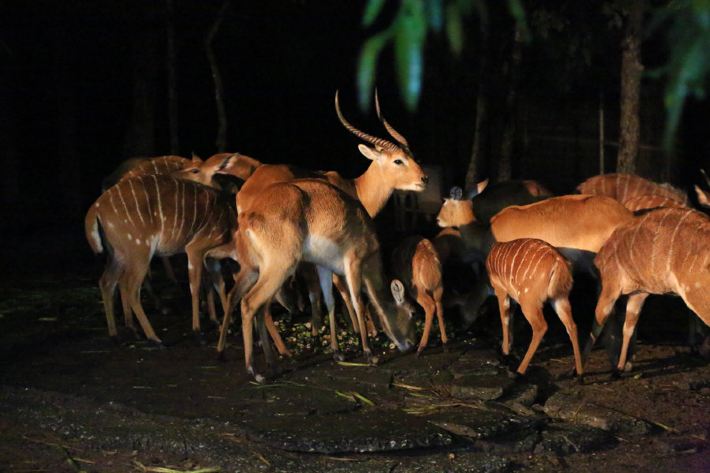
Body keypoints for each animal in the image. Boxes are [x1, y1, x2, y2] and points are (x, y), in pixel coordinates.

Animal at [83, 173, 234, 342]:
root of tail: (95, 208)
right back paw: (154, 338)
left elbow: (219, 284)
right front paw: (197, 331)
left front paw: (226, 324)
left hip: (118, 253)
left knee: (107, 282)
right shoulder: (195, 249)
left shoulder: (211, 258)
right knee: (130, 288)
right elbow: (195, 287)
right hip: (140, 251)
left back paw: (119, 334)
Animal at [218, 177, 418, 380]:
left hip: (255, 270)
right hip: (280, 268)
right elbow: (358, 303)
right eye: (412, 311)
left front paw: (337, 351)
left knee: (255, 306)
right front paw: (370, 353)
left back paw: (272, 364)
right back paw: (254, 370)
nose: (412, 344)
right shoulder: (353, 263)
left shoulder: (323, 267)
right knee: (249, 303)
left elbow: (330, 302)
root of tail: (247, 217)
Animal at [490, 240, 584, 376]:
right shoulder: (512, 297)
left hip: (528, 301)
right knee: (572, 326)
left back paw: (520, 371)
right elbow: (511, 315)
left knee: (541, 327)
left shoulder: (500, 289)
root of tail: (559, 263)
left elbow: (504, 318)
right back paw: (579, 373)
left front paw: (505, 352)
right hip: (560, 297)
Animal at [584, 208, 710, 374]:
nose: (627, 364)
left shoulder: (610, 286)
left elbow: (597, 322)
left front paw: (578, 372)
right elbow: (628, 327)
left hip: (696, 294)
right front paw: (621, 367)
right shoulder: (639, 293)